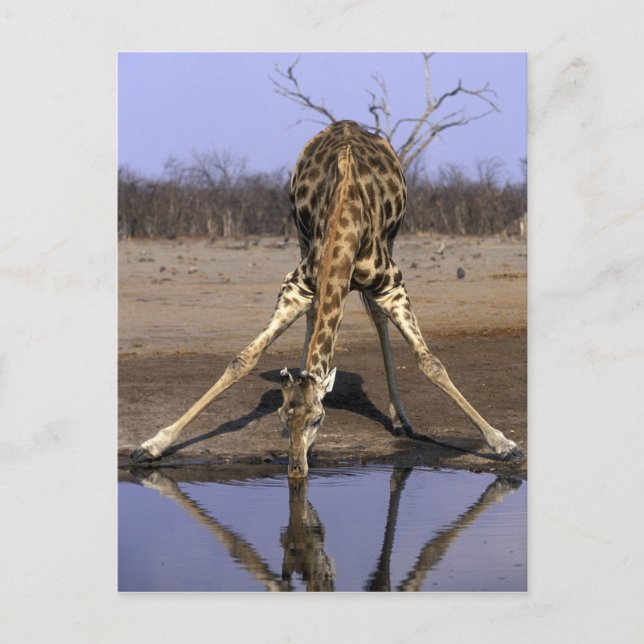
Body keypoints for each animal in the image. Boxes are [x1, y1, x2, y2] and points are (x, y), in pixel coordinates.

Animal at [132, 120, 523, 476]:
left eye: (319, 419)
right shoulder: (297, 285)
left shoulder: (392, 284)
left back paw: (401, 420)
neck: (346, 216)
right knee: (316, 315)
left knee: (378, 320)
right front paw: (151, 445)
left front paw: (505, 444)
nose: (296, 470)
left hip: (391, 244)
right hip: (299, 234)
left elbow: (432, 364)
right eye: (281, 416)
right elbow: (242, 360)